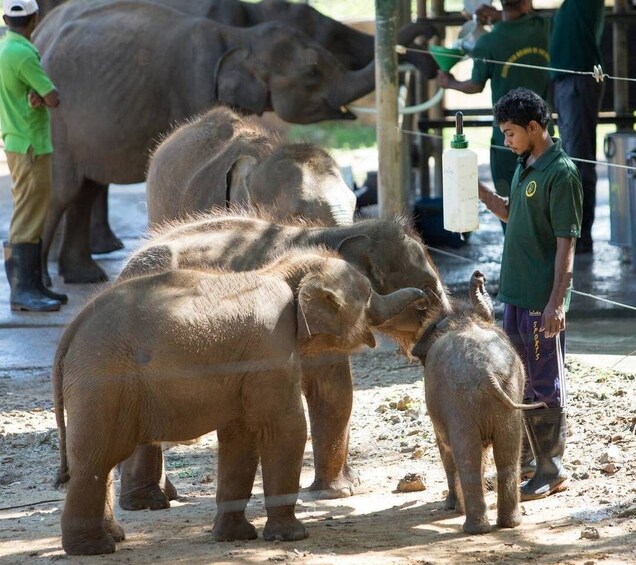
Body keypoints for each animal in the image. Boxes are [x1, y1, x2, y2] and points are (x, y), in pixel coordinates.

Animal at [53, 248, 422, 556]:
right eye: (369, 295)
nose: (423, 297)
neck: (283, 271)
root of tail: (72, 330)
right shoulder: (271, 347)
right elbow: (286, 428)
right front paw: (291, 536)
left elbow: (240, 437)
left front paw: (234, 537)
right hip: (103, 382)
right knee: (95, 459)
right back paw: (93, 549)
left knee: (97, 461)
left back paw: (112, 538)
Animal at [117, 209, 450, 508]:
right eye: (427, 292)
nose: (438, 318)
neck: (334, 233)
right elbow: (333, 390)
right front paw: (337, 493)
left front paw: (351, 483)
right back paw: (147, 502)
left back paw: (166, 495)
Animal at [412, 270, 548, 536]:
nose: (479, 276)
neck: (463, 318)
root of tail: (486, 370)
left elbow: (445, 448)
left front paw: (451, 507)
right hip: (507, 396)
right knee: (507, 455)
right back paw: (508, 524)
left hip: (460, 404)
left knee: (467, 457)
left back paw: (474, 527)